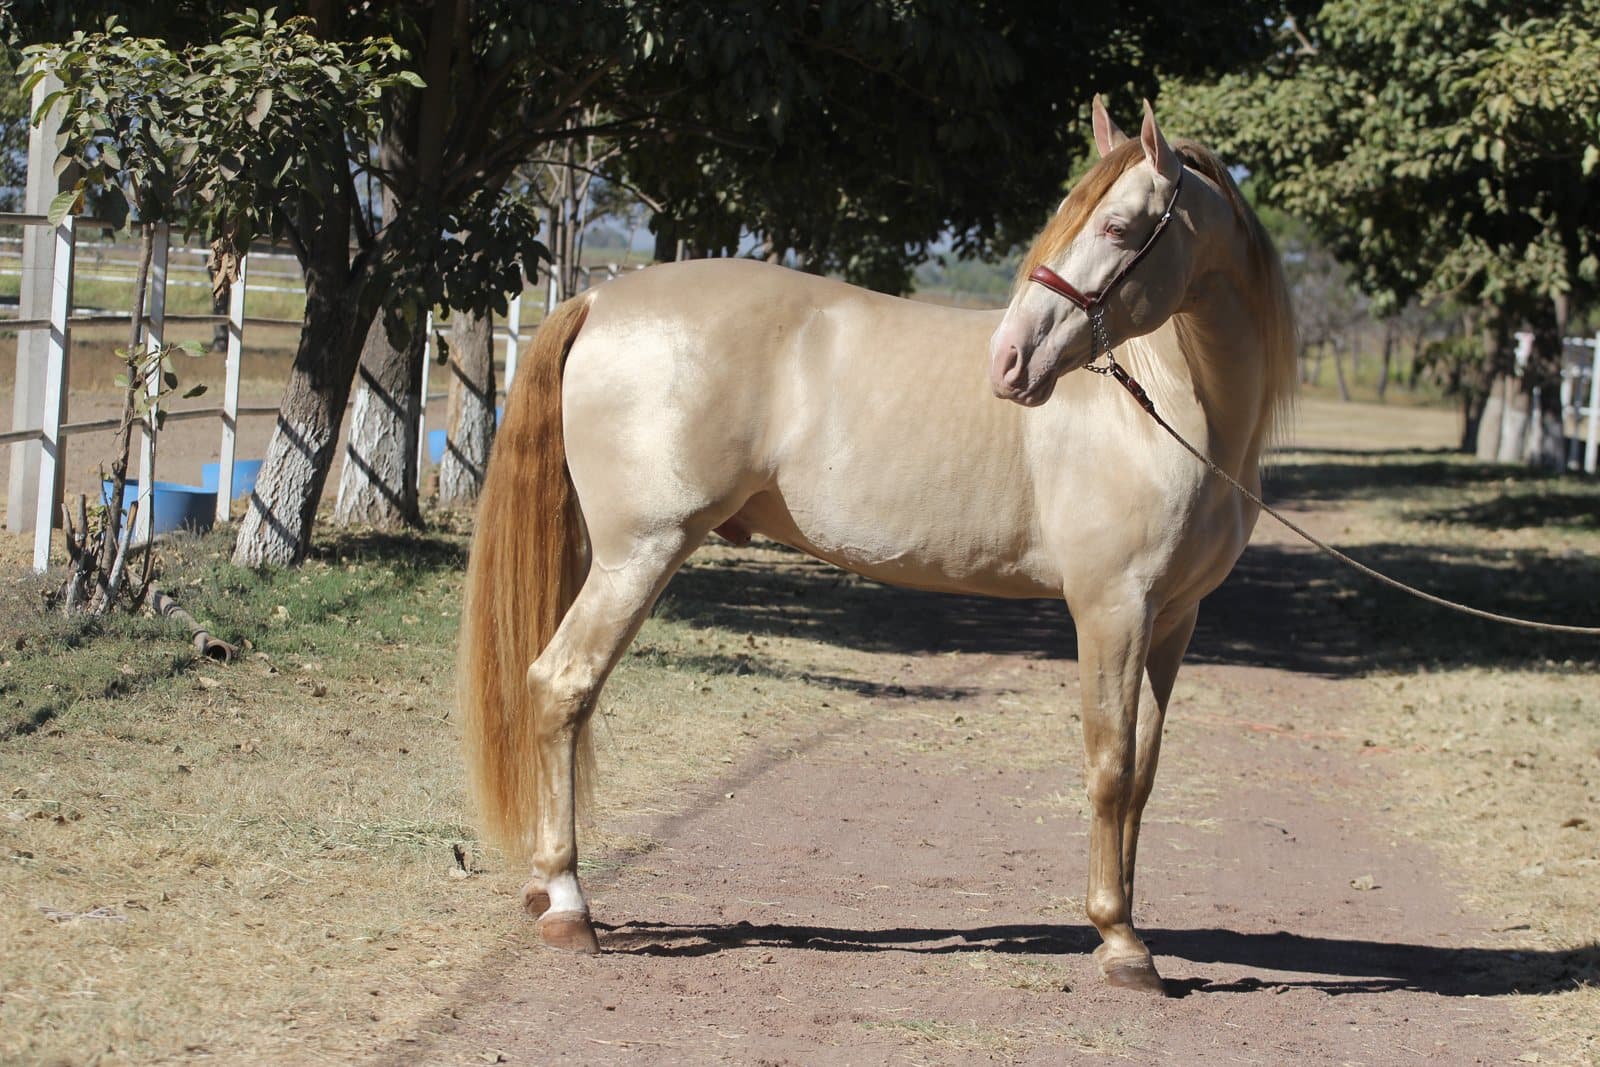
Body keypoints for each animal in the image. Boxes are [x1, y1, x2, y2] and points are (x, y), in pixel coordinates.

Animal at [458, 98, 1296, 994]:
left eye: (1114, 224)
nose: (1010, 360)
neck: (1161, 407)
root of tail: (597, 299)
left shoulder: (1173, 618)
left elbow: (1143, 772)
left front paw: (1128, 928)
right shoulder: (1113, 607)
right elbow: (1109, 764)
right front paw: (1121, 942)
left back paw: (545, 890)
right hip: (637, 556)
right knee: (560, 686)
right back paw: (568, 902)